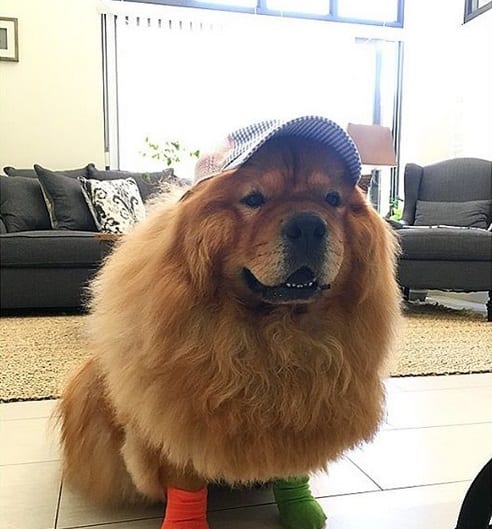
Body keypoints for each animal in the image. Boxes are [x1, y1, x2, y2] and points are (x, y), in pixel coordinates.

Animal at [59, 116, 402, 528]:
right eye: (254, 199)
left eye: (332, 200)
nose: (308, 224)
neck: (277, 335)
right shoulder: (179, 419)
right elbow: (186, 481)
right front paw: (185, 523)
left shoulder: (303, 414)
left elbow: (292, 466)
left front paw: (301, 510)